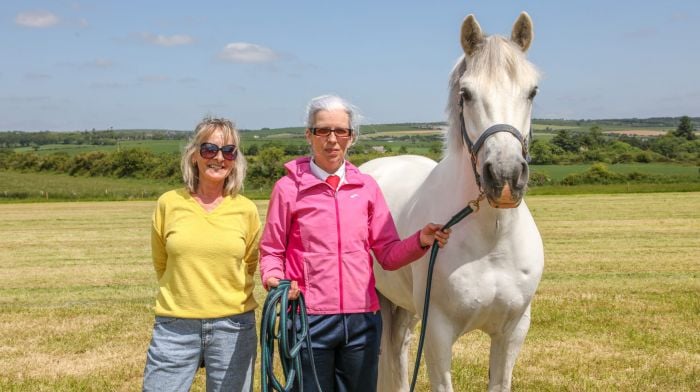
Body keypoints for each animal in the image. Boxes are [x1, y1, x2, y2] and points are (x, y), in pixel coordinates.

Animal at [360, 12, 548, 392]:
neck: (492, 241)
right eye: (467, 93)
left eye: (532, 91)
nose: (505, 177)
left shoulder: (512, 332)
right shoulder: (437, 333)